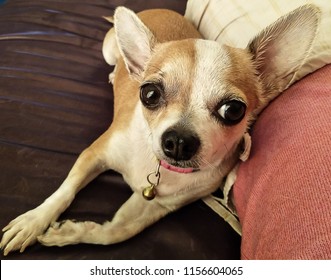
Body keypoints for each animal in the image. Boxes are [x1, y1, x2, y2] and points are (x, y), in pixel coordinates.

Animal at [0, 4, 322, 255]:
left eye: (233, 111)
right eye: (150, 94)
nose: (178, 140)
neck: (158, 168)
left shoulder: (157, 206)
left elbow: (115, 232)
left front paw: (70, 233)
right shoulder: (93, 155)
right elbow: (64, 192)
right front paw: (33, 221)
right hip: (108, 51)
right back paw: (113, 73)